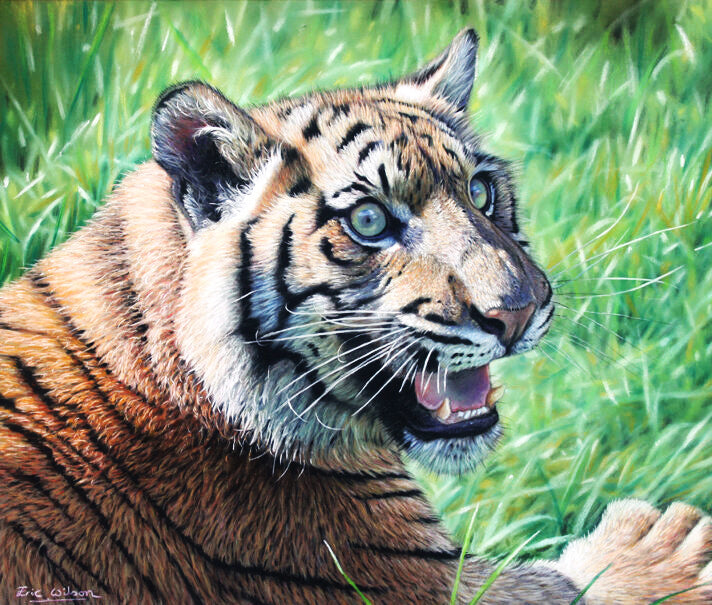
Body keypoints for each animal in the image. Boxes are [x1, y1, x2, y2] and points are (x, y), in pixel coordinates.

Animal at [1, 27, 710, 605]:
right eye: (369, 220)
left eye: (480, 190)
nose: (518, 312)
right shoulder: (408, 575)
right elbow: (578, 586)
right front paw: (668, 545)